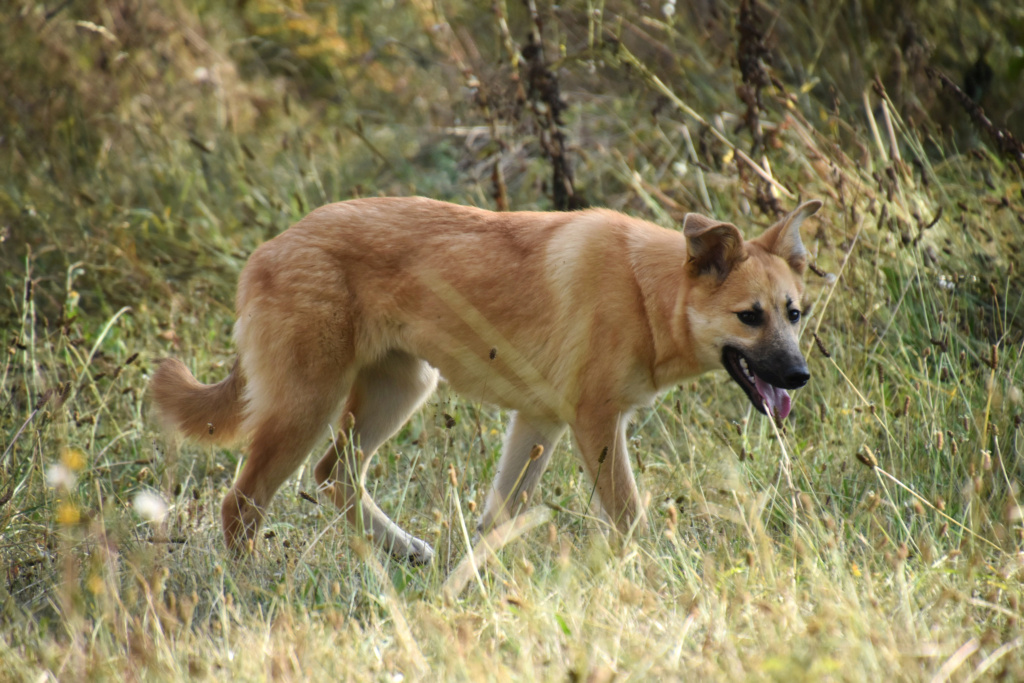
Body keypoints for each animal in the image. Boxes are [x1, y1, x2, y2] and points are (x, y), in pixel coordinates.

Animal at [149, 196, 823, 561]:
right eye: (749, 316)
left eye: (793, 314)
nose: (798, 376)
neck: (644, 291)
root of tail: (267, 251)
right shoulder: (596, 423)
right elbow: (631, 516)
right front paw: (656, 574)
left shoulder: (540, 423)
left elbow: (497, 520)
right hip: (307, 408)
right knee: (241, 505)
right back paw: (250, 586)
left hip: (399, 392)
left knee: (335, 476)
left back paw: (403, 549)